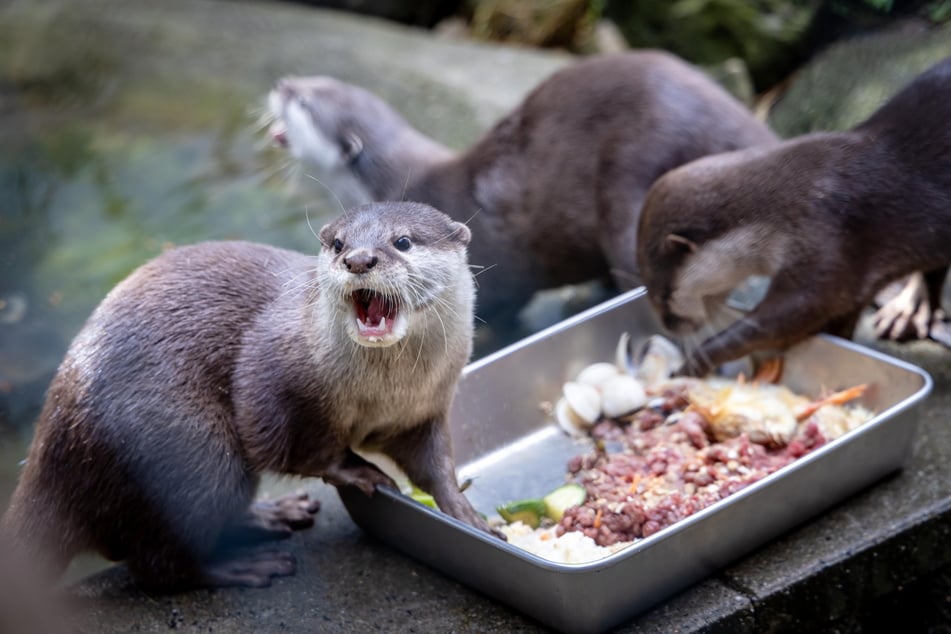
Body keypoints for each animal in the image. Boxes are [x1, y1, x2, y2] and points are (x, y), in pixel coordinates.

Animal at [0, 201, 490, 588]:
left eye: (403, 241)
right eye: (337, 244)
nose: (359, 259)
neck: (384, 394)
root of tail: (53, 440)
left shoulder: (422, 412)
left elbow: (434, 464)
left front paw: (467, 514)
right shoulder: (272, 379)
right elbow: (298, 444)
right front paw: (358, 470)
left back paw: (275, 514)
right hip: (189, 450)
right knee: (157, 564)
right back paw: (243, 566)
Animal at [636, 58, 951, 376]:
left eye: (664, 295)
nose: (669, 326)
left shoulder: (828, 241)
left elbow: (792, 314)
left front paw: (698, 360)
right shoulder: (852, 283)